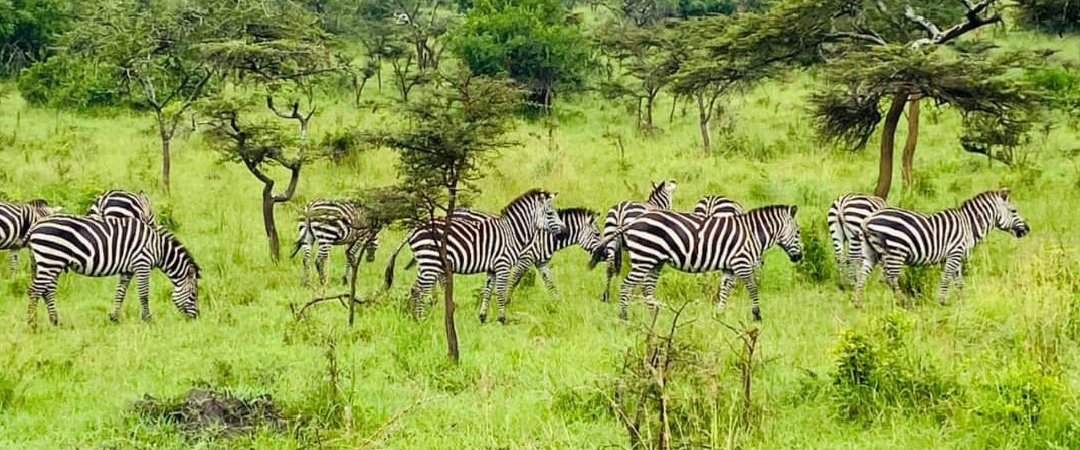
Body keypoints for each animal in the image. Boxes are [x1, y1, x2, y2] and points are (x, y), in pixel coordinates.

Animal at [25, 215, 201, 328]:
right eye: (194, 294)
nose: (197, 318)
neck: (159, 249)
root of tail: (36, 226)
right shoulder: (142, 264)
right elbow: (143, 294)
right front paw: (148, 319)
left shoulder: (128, 270)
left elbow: (120, 293)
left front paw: (114, 318)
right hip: (50, 260)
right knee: (34, 290)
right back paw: (33, 324)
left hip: (52, 263)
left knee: (47, 291)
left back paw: (55, 321)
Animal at [383, 189, 568, 324]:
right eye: (550, 214)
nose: (565, 231)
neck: (512, 232)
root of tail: (414, 228)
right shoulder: (503, 265)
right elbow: (501, 292)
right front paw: (502, 319)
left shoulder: (492, 268)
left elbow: (487, 291)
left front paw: (483, 317)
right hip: (430, 262)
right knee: (422, 290)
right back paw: (421, 319)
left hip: (425, 263)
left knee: (415, 288)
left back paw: (414, 318)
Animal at [587, 205, 803, 321]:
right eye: (799, 232)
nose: (799, 257)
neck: (752, 234)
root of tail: (631, 222)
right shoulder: (741, 263)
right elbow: (752, 288)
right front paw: (757, 315)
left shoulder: (729, 267)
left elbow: (725, 290)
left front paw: (720, 314)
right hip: (645, 258)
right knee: (627, 285)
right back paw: (624, 316)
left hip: (654, 261)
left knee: (646, 288)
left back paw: (654, 314)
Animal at [853, 188, 1029, 307]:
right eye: (1014, 211)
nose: (1027, 229)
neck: (969, 225)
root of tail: (868, 220)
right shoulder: (954, 254)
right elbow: (946, 279)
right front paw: (942, 302)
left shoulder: (956, 257)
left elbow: (959, 282)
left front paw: (962, 303)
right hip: (896, 251)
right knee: (890, 278)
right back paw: (905, 302)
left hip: (871, 253)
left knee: (862, 275)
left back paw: (859, 303)